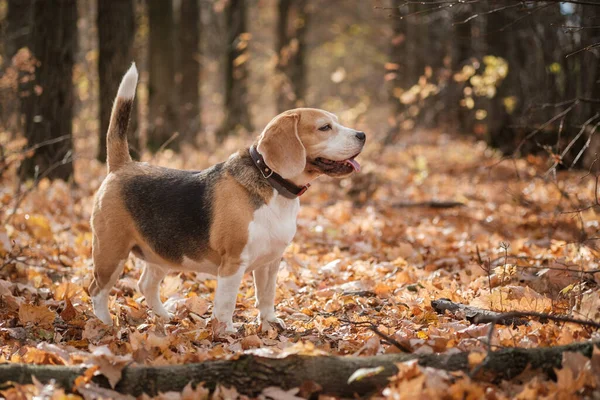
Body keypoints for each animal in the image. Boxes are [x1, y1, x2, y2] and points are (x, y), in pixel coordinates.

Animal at [90, 63, 366, 332]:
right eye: (325, 127)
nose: (362, 134)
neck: (272, 183)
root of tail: (123, 165)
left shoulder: (271, 261)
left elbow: (266, 296)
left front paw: (269, 323)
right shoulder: (233, 263)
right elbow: (226, 302)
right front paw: (226, 332)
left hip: (160, 252)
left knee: (145, 284)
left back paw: (164, 317)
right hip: (111, 253)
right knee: (97, 290)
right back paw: (104, 325)